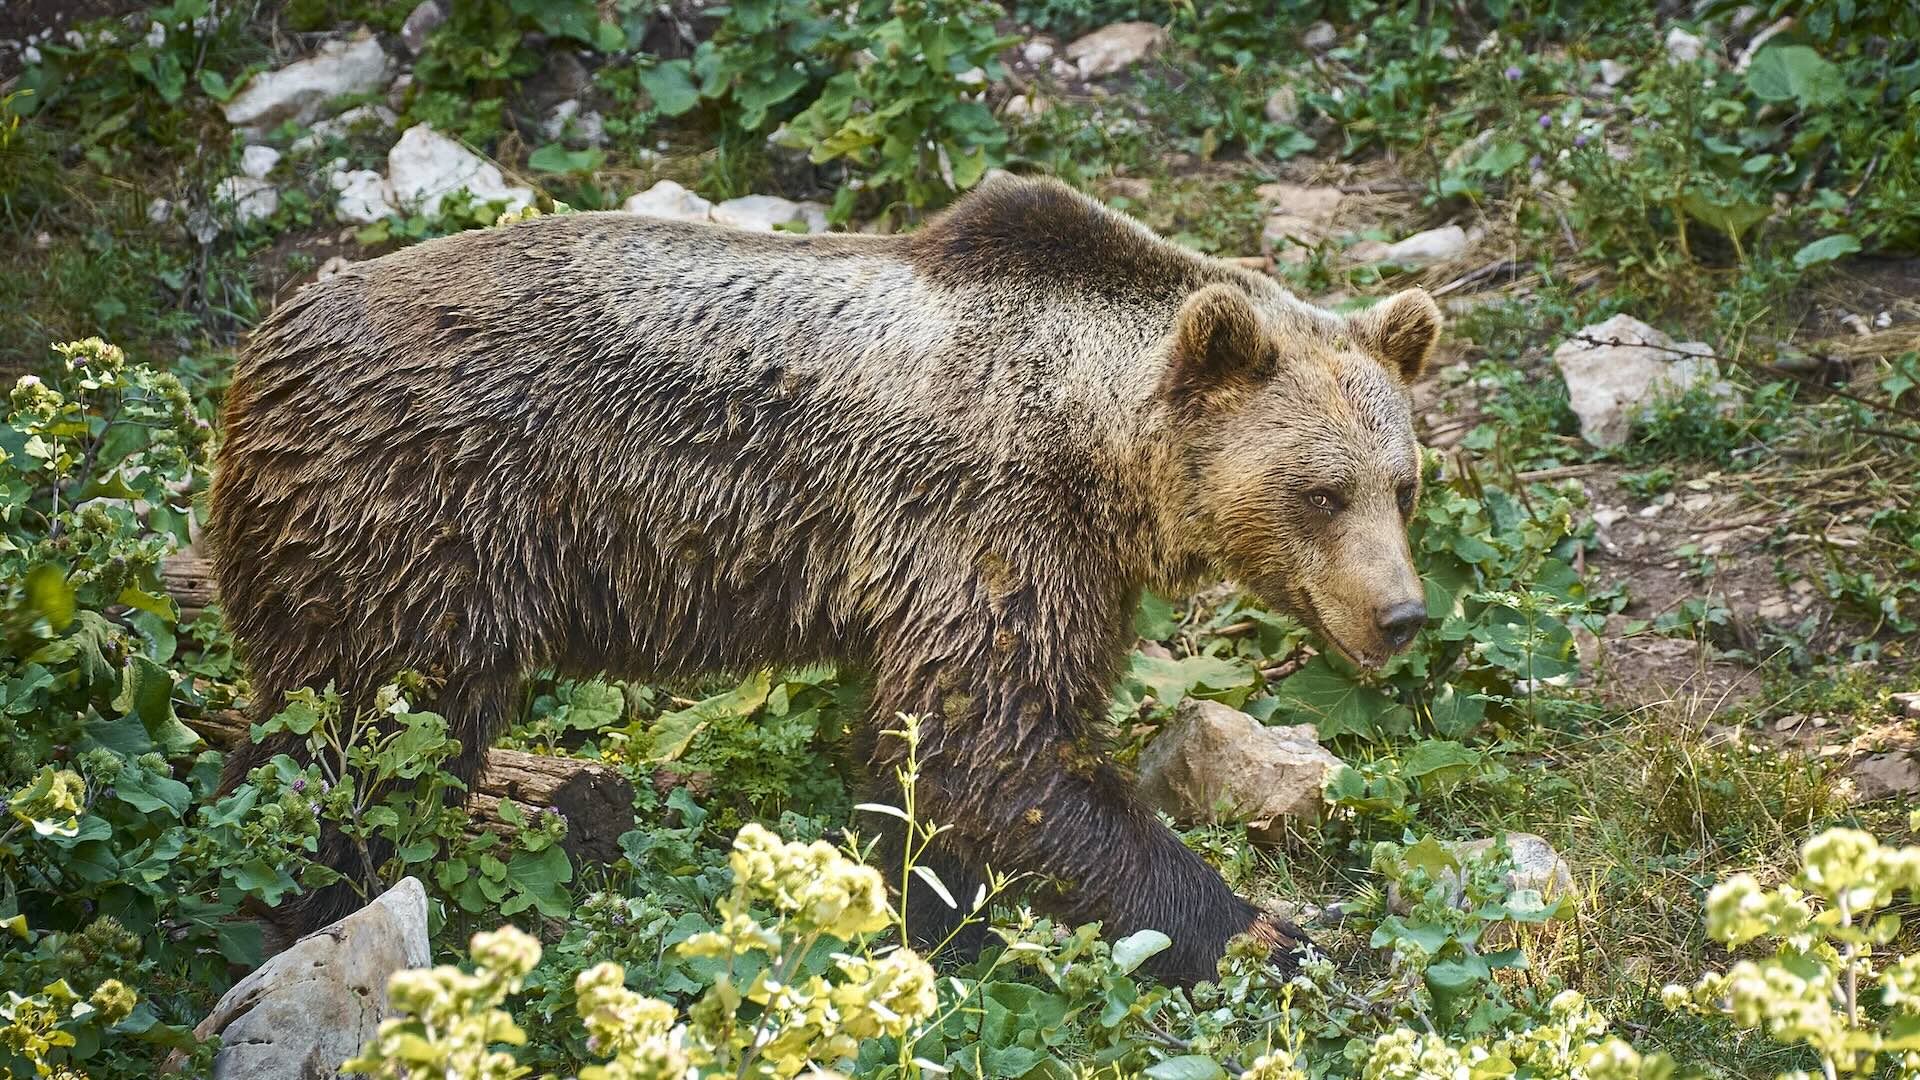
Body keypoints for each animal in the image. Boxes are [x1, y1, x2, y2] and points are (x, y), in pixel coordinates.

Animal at [214, 171, 1443, 980]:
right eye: (1320, 492)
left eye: (1404, 483)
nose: (1401, 614)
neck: (1093, 442)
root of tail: (262, 351)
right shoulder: (983, 517)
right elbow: (989, 746)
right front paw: (1265, 928)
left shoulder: (1044, 560)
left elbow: (928, 768)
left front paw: (931, 918)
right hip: (419, 522)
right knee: (364, 747)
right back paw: (311, 897)